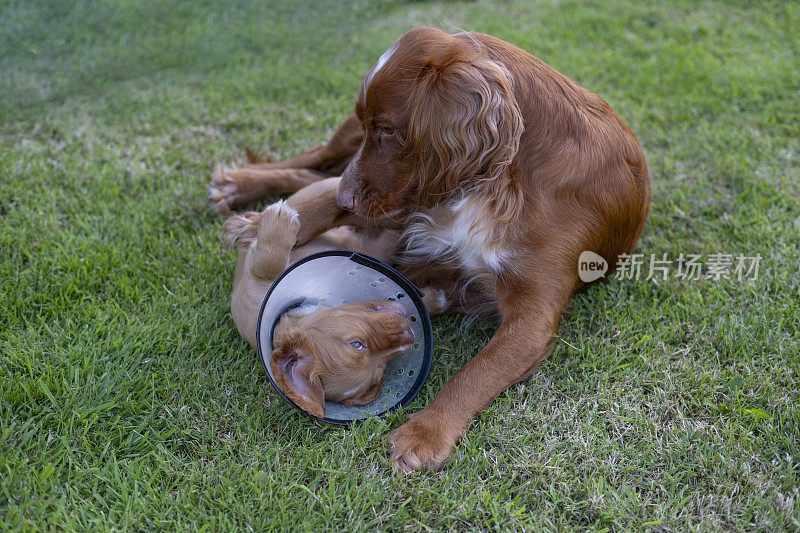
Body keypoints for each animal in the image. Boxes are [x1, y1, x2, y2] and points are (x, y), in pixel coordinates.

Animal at [211, 28, 648, 470]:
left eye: (388, 130)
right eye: (376, 128)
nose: (350, 197)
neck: (504, 177)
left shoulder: (533, 316)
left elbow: (478, 371)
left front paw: (425, 433)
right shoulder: (412, 192)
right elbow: (329, 201)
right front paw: (259, 225)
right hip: (347, 141)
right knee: (317, 161)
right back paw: (237, 185)